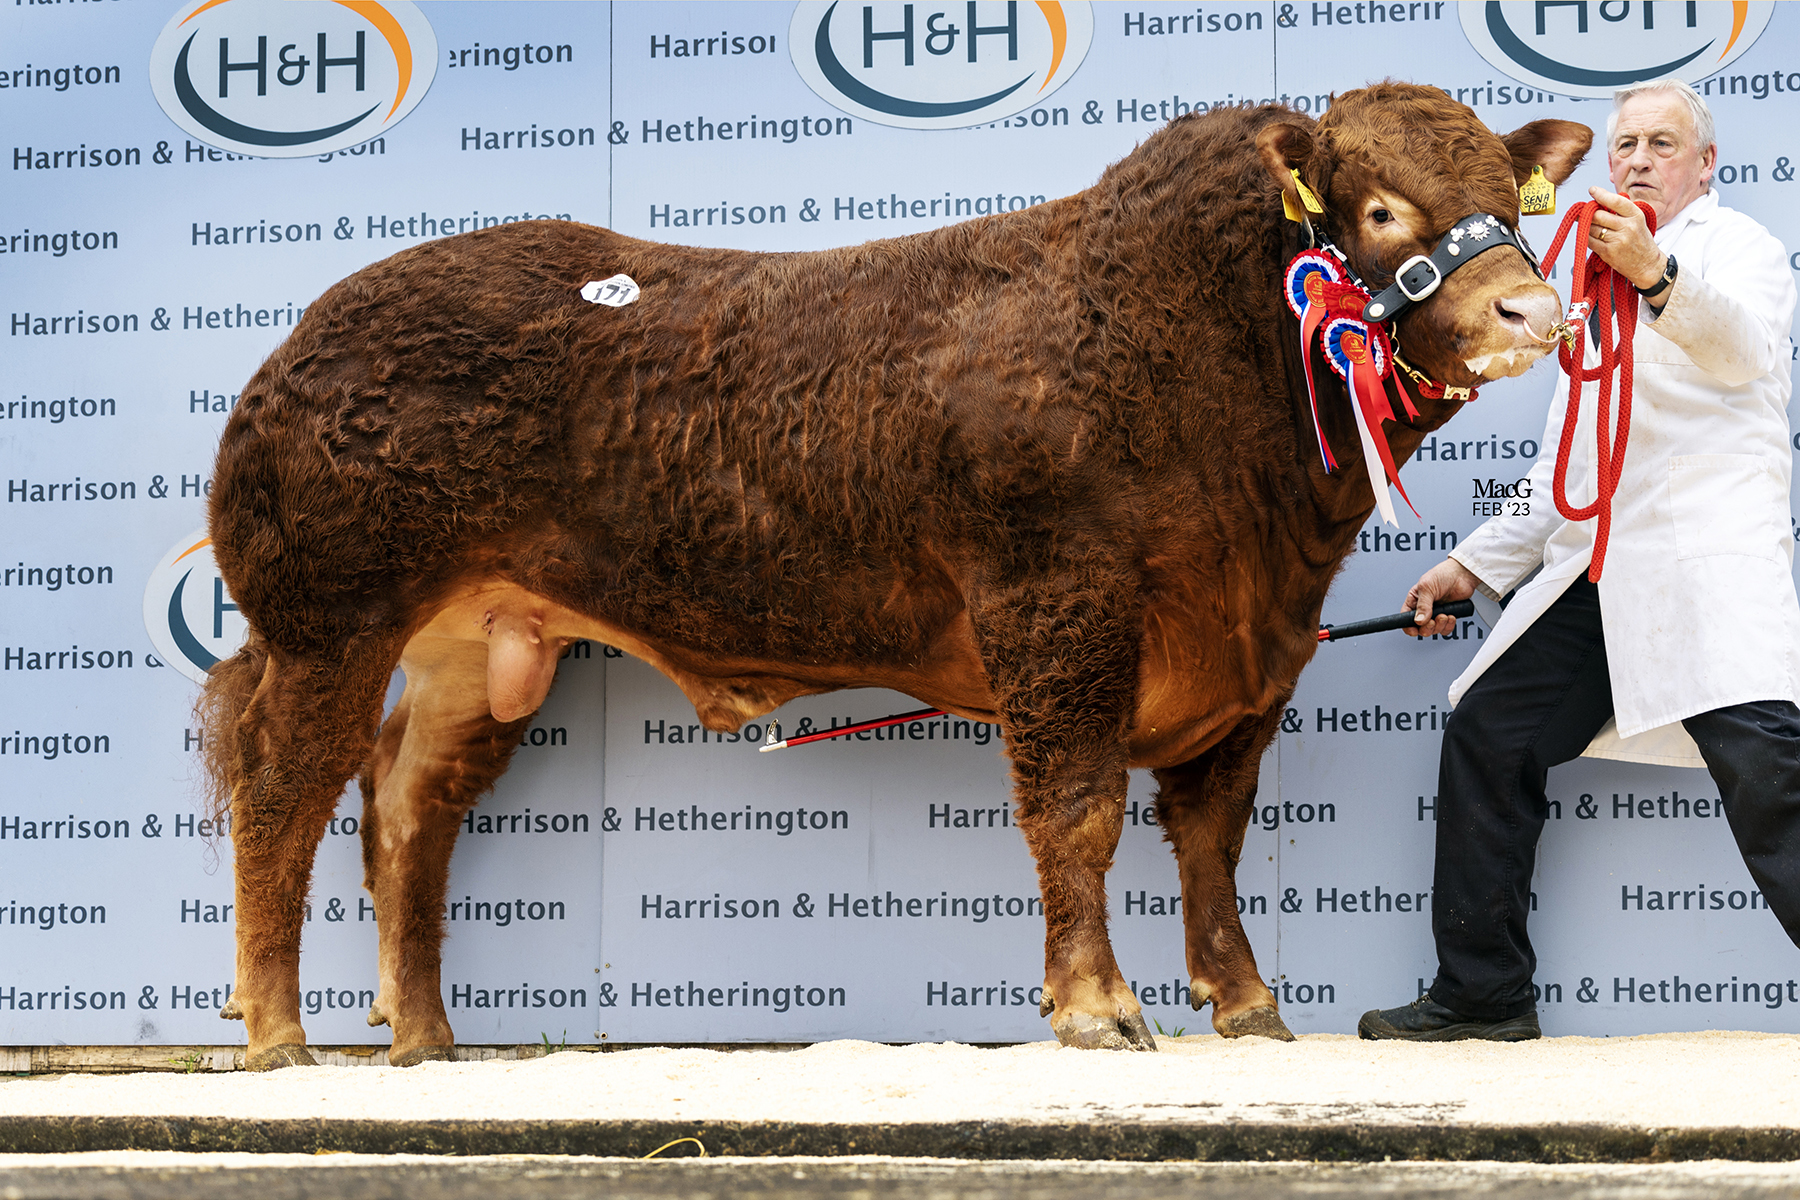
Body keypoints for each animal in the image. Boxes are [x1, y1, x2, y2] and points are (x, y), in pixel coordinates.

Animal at [197, 82, 1591, 1072]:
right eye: (1381, 210)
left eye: (1512, 202)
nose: (1536, 312)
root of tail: (308, 335)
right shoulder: (1055, 605)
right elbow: (1077, 809)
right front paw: (1097, 1009)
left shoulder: (1255, 651)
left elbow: (1212, 833)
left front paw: (1247, 1005)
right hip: (329, 617)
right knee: (281, 793)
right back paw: (278, 1035)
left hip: (480, 644)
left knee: (407, 806)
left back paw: (427, 1038)